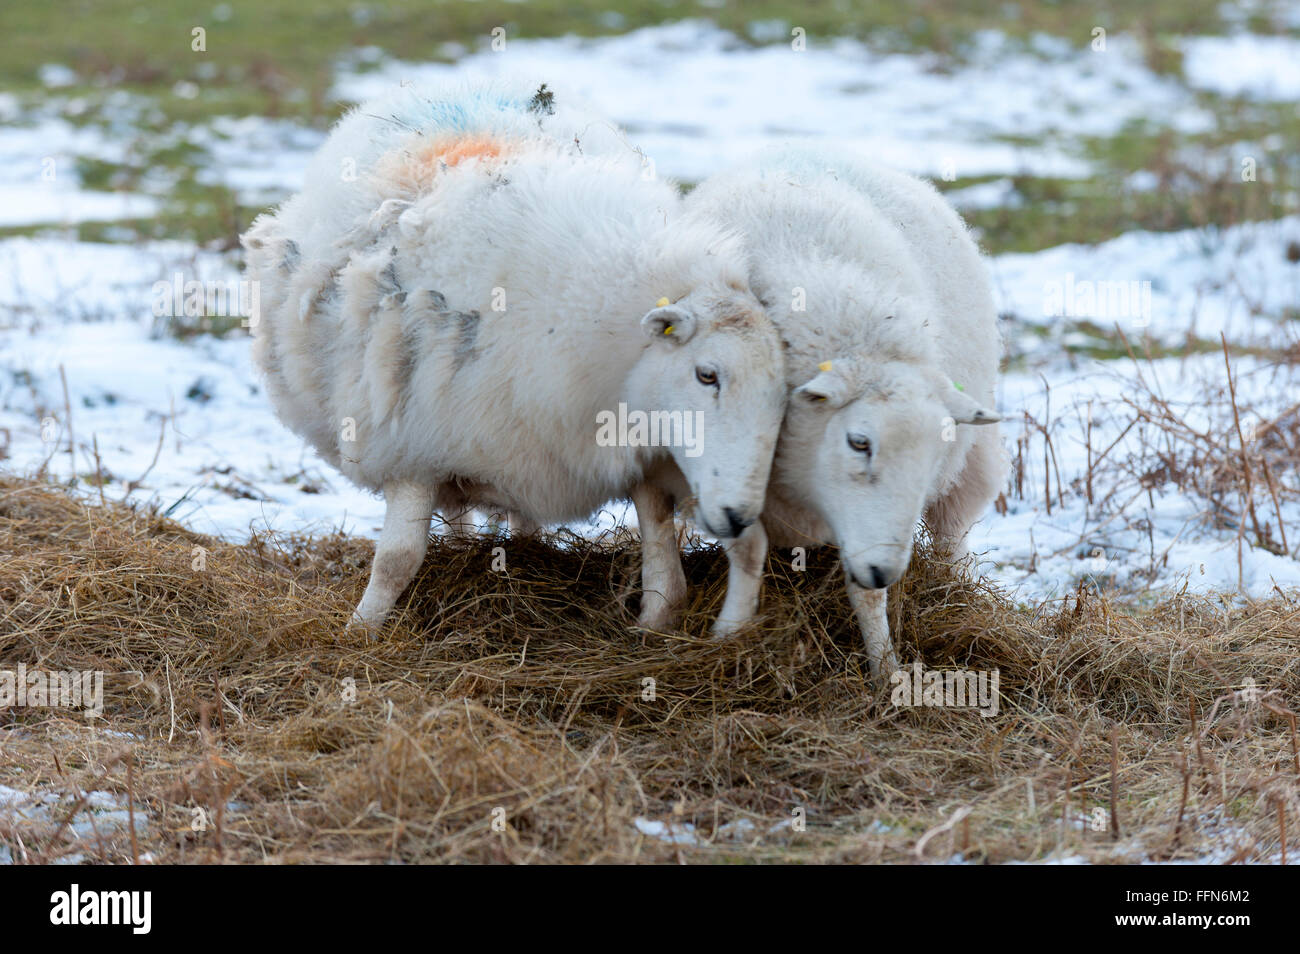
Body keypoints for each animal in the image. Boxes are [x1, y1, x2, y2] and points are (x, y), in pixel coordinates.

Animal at [241, 81, 787, 633]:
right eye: (707, 375)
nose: (739, 516)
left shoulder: (636, 450)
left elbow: (658, 535)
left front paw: (656, 619)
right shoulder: (412, 442)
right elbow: (397, 557)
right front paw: (361, 629)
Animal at [669, 146, 1006, 678]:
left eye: (933, 452)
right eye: (858, 442)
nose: (884, 569)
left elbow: (867, 595)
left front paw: (885, 669)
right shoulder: (720, 480)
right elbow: (747, 549)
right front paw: (729, 634)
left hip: (971, 462)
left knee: (953, 531)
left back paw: (954, 592)